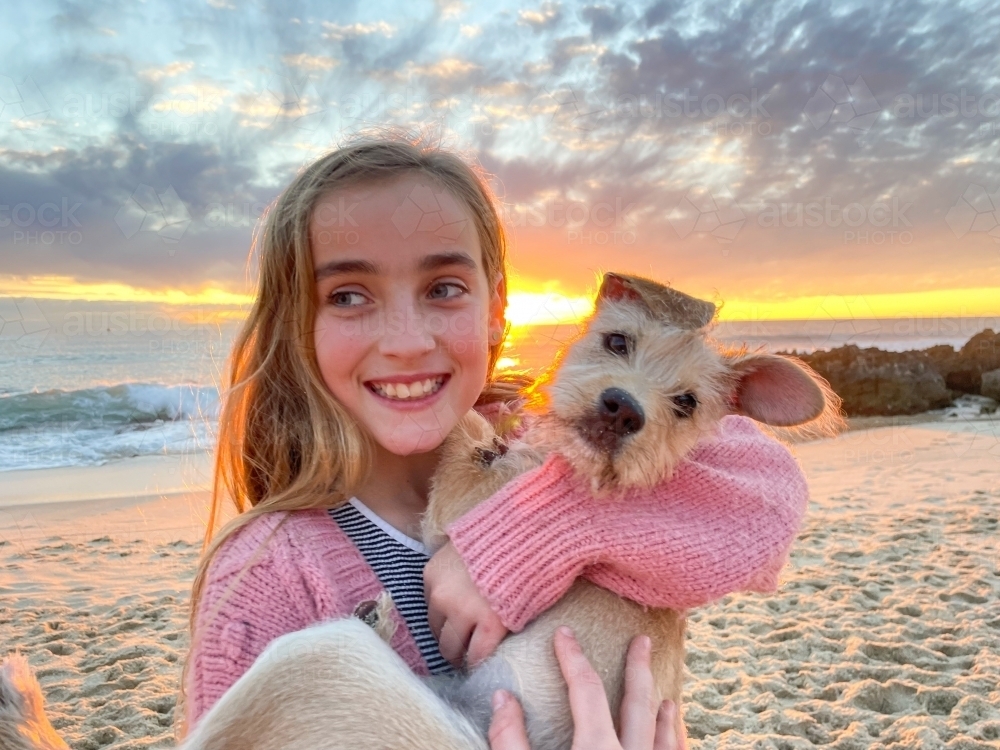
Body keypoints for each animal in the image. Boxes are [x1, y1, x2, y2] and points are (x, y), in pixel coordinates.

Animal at [1, 274, 836, 750]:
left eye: (687, 403)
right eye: (616, 340)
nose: (621, 408)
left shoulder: (462, 504)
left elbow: (463, 440)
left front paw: (480, 407)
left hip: (320, 670)